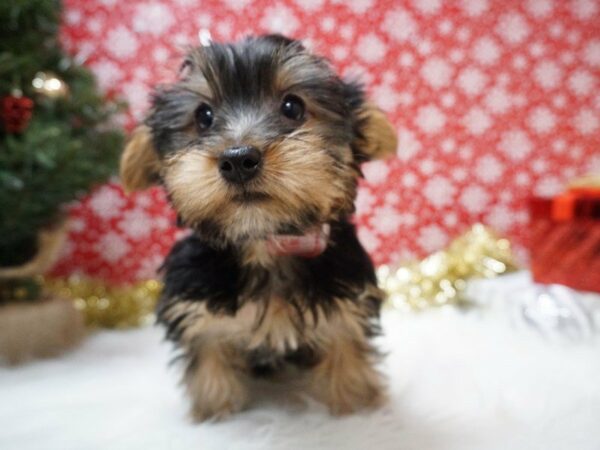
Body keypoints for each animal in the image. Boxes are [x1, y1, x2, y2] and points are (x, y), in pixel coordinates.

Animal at [120, 33, 398, 420]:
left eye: (293, 107)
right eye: (203, 116)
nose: (238, 159)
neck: (264, 242)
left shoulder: (346, 302)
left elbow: (346, 351)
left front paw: (353, 404)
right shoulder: (196, 308)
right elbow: (209, 356)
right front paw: (215, 409)